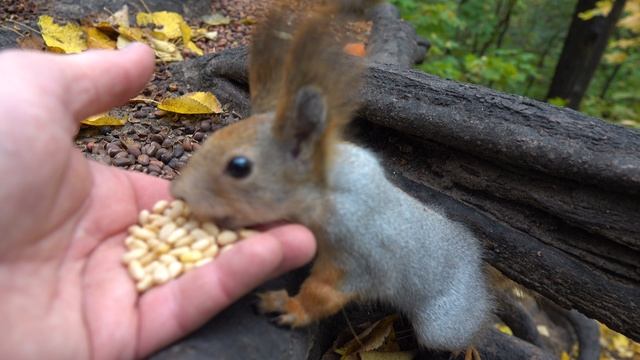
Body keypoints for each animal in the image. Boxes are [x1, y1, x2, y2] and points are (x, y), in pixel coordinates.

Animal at [169, 1, 490, 358]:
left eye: (239, 166)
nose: (179, 193)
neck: (326, 191)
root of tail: (474, 259)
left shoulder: (357, 255)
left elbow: (324, 293)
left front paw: (289, 307)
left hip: (445, 320)